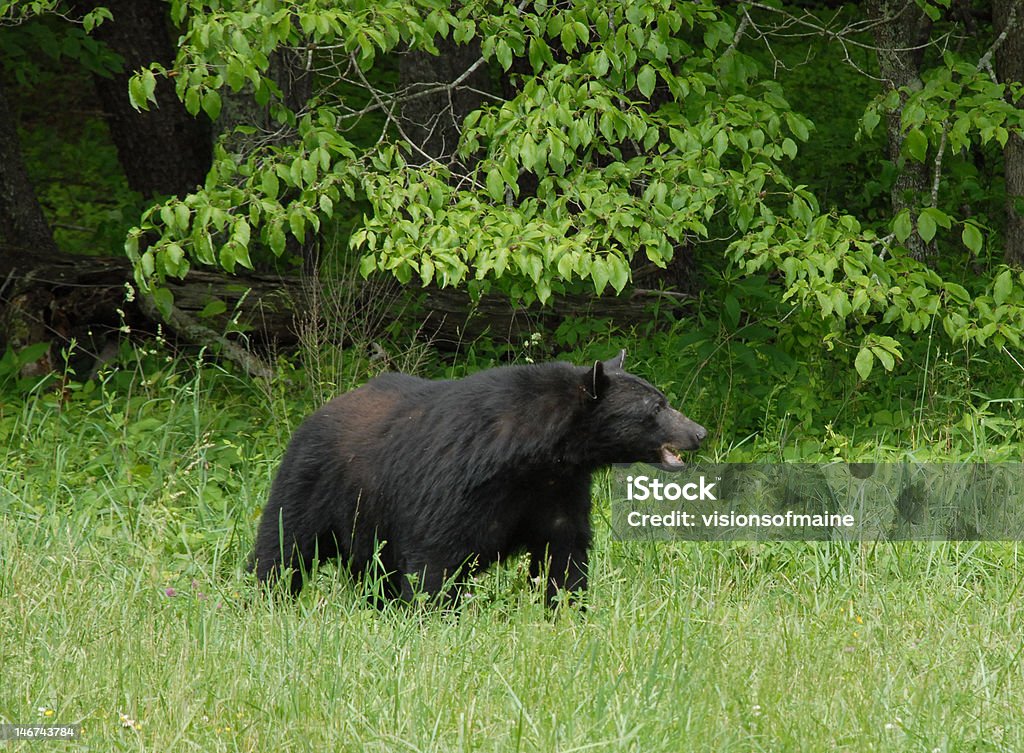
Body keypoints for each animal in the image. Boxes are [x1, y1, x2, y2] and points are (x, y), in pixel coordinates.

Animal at [251, 350, 708, 602]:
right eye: (656, 408)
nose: (699, 433)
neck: (537, 454)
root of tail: (315, 414)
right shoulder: (452, 483)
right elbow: (435, 557)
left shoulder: (558, 488)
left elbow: (564, 549)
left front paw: (567, 608)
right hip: (313, 482)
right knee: (283, 548)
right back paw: (264, 601)